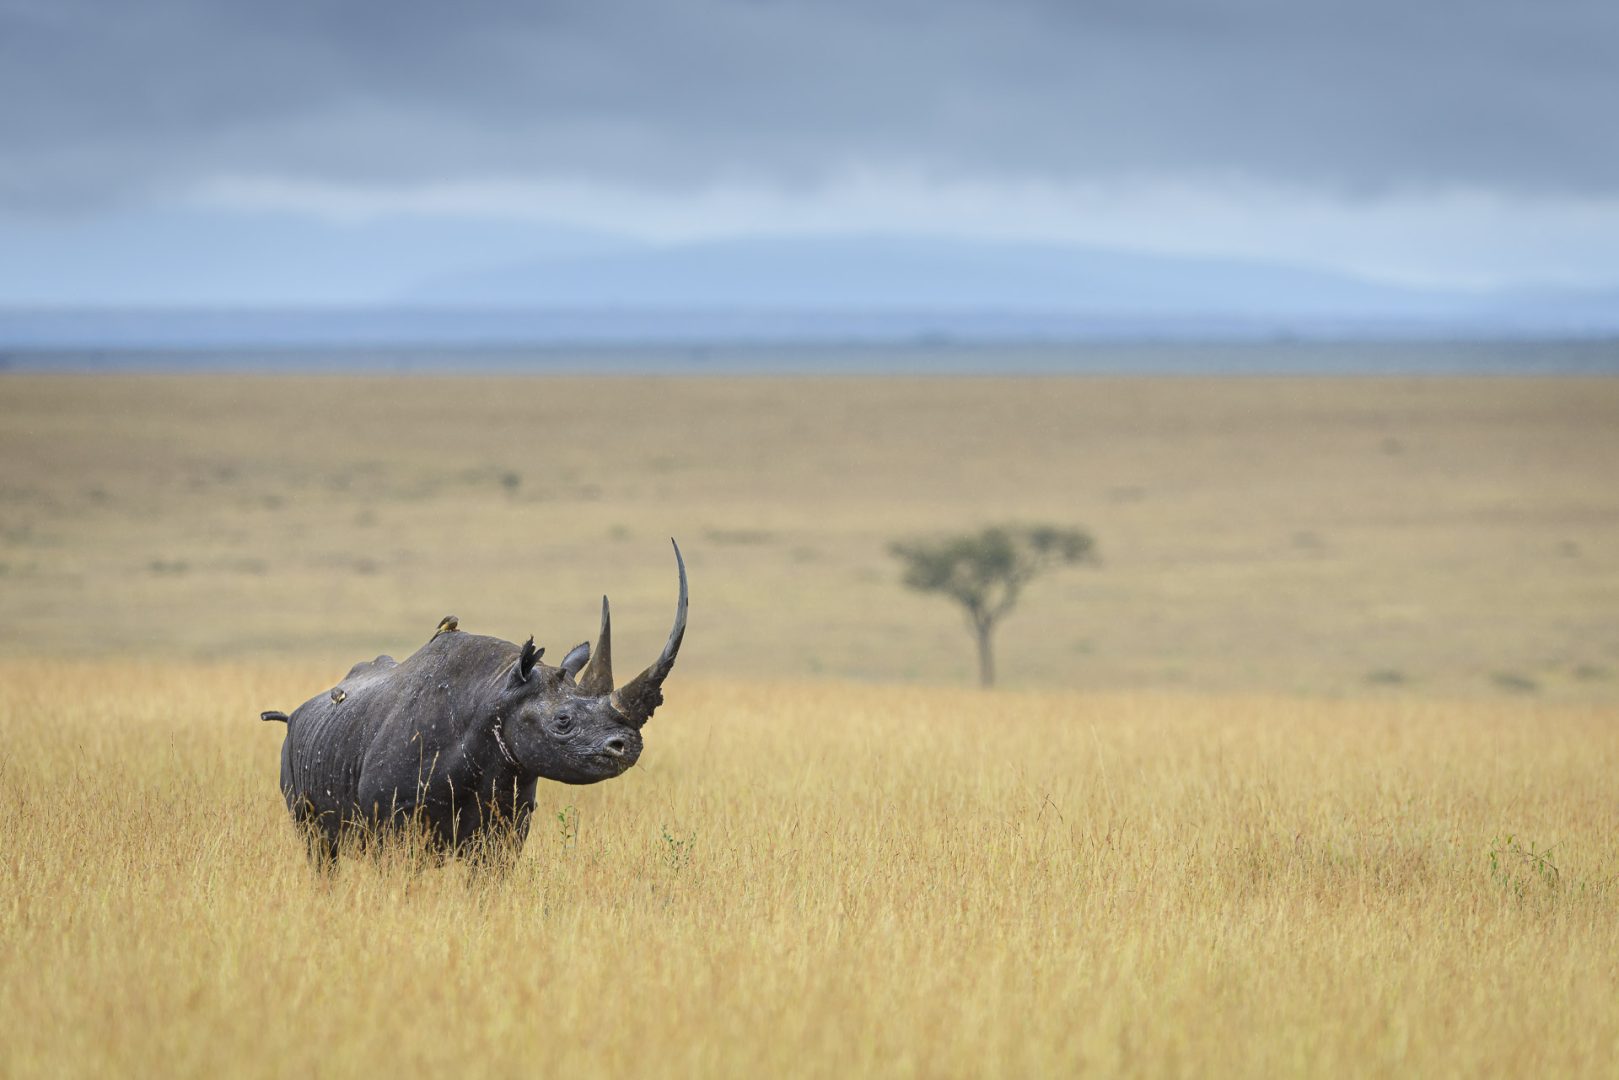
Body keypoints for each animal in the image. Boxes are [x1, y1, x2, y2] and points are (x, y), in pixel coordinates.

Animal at [260, 541, 687, 861]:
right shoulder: (394, 825)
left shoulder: (507, 827)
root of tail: (294, 715)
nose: (628, 745)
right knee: (320, 851)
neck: (497, 693)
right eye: (563, 722)